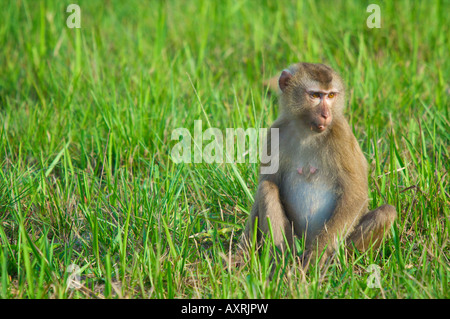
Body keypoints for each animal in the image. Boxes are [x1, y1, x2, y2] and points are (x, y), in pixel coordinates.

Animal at [241, 62, 396, 270]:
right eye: (315, 95)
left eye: (330, 96)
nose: (326, 114)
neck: (307, 130)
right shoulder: (276, 133)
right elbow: (266, 183)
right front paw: (242, 254)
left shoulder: (341, 134)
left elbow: (354, 196)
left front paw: (316, 255)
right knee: (267, 188)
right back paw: (283, 260)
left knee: (386, 213)